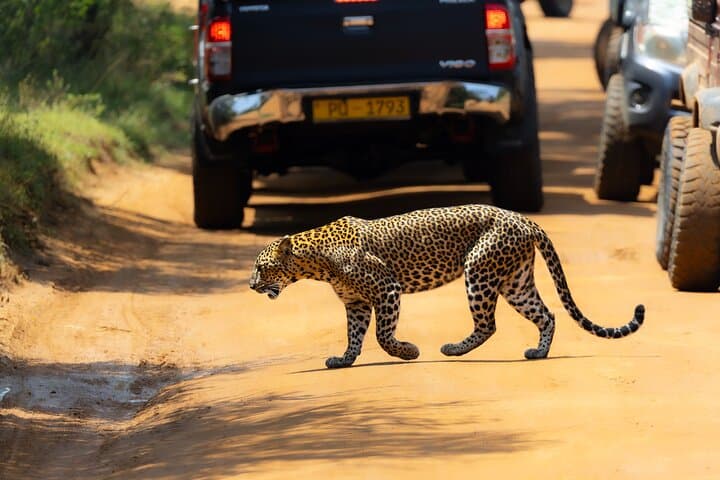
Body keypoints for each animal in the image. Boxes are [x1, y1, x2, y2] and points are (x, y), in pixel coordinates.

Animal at [249, 204, 645, 369]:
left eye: (261, 268)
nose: (251, 285)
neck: (314, 261)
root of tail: (524, 219)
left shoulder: (387, 288)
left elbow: (381, 335)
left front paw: (407, 352)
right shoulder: (356, 303)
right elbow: (355, 335)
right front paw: (344, 360)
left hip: (479, 271)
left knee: (488, 323)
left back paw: (453, 349)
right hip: (515, 281)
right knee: (546, 315)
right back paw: (538, 353)